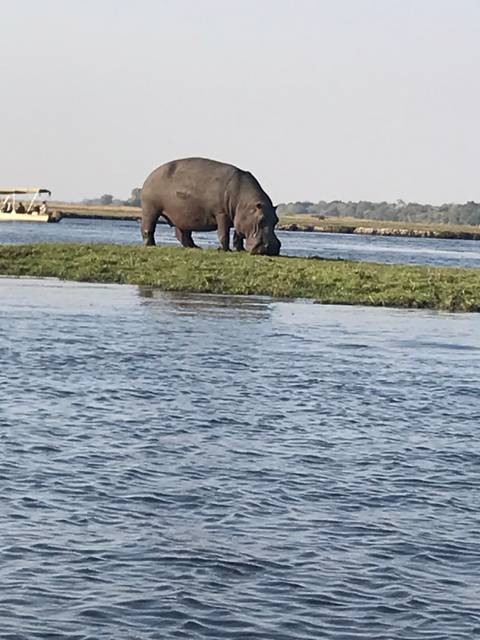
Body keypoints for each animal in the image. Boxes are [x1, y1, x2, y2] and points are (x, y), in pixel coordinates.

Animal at [140, 157, 281, 255]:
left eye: (276, 220)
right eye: (261, 219)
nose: (271, 248)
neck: (245, 203)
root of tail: (150, 175)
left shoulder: (239, 217)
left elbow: (238, 235)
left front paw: (239, 250)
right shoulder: (222, 213)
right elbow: (223, 233)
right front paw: (225, 250)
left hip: (182, 216)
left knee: (183, 235)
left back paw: (196, 247)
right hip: (150, 209)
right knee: (148, 228)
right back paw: (151, 245)